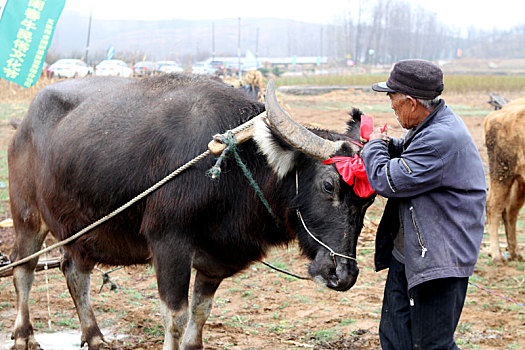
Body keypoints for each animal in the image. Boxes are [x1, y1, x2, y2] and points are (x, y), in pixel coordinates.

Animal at [6, 73, 370, 348]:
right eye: (328, 185)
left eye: (368, 201)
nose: (343, 274)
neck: (237, 165)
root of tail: (23, 125)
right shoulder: (169, 245)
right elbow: (176, 317)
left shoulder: (214, 260)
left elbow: (201, 314)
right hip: (27, 215)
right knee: (23, 269)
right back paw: (24, 336)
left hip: (80, 231)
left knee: (74, 272)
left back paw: (94, 336)